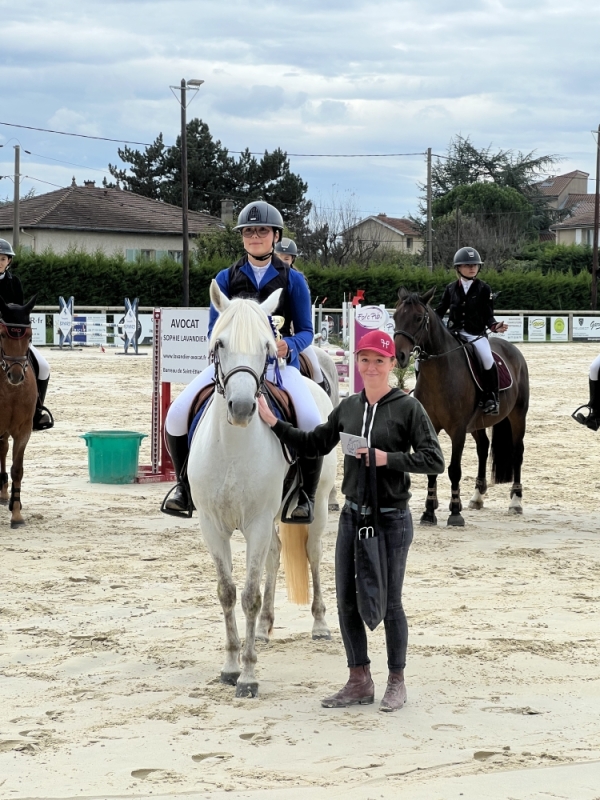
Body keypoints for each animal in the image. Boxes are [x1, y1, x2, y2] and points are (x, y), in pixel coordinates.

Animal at [189, 284, 338, 696]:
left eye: (268, 348)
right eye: (220, 343)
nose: (241, 408)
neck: (232, 446)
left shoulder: (254, 522)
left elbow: (249, 596)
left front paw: (249, 675)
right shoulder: (212, 526)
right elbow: (227, 592)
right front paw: (229, 666)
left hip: (319, 503)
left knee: (313, 553)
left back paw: (320, 624)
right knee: (275, 553)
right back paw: (265, 629)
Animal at [394, 286, 528, 524]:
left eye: (418, 318)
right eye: (395, 317)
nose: (399, 355)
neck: (440, 372)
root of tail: (511, 348)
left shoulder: (457, 429)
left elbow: (454, 469)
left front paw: (455, 512)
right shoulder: (431, 427)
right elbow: (432, 468)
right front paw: (429, 512)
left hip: (518, 415)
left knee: (517, 451)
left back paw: (515, 501)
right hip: (477, 423)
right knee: (483, 447)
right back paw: (477, 497)